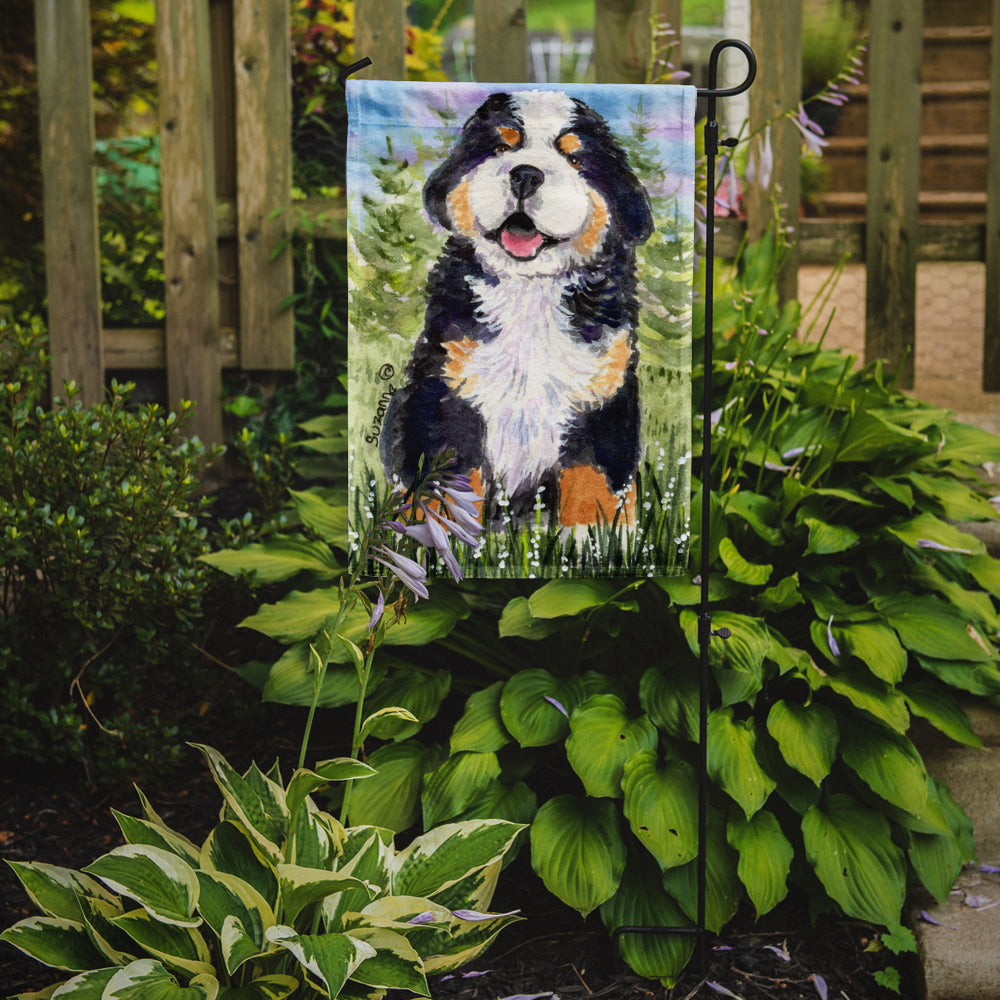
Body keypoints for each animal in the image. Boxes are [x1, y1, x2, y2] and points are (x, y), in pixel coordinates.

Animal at [378, 90, 652, 528]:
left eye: (575, 159)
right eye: (501, 148)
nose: (525, 174)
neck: (530, 290)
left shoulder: (605, 393)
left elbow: (594, 479)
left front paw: (595, 537)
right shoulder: (444, 386)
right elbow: (448, 478)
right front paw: (442, 536)